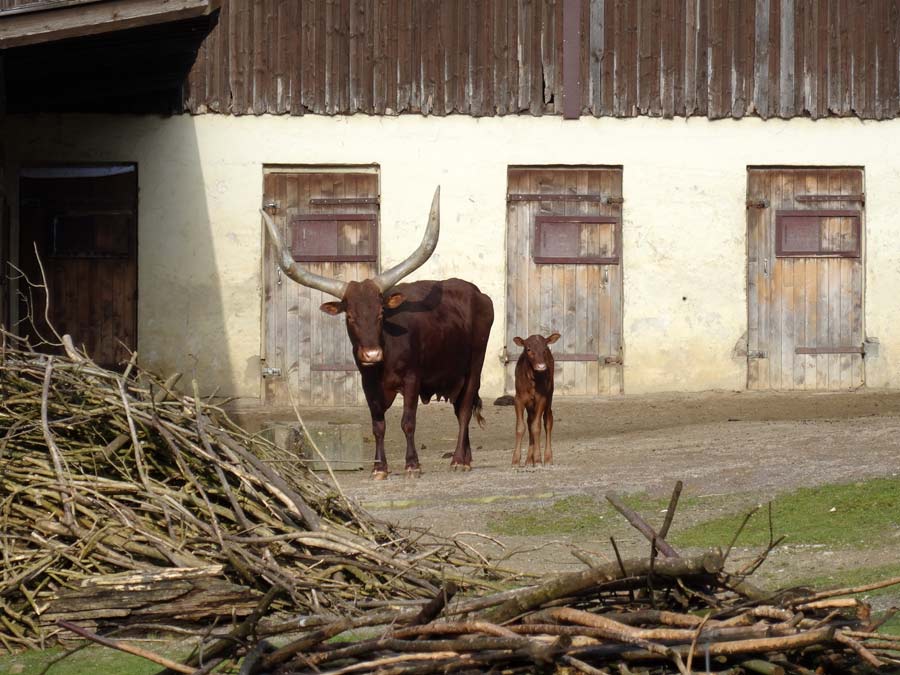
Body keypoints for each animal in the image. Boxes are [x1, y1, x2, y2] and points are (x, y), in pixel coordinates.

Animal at [262, 187, 492, 478]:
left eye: (381, 314)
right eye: (350, 316)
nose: (371, 354)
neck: (385, 355)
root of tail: (478, 293)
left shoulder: (412, 379)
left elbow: (407, 422)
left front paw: (412, 464)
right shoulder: (368, 383)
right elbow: (378, 425)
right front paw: (379, 467)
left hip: (475, 364)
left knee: (464, 411)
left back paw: (459, 460)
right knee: (461, 406)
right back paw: (465, 458)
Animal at [510, 334, 560, 470]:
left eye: (545, 349)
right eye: (528, 349)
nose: (541, 366)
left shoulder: (541, 399)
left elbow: (536, 427)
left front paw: (537, 460)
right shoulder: (518, 399)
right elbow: (520, 427)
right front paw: (515, 460)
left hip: (549, 396)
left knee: (548, 420)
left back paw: (547, 458)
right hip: (530, 405)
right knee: (529, 421)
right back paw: (528, 460)